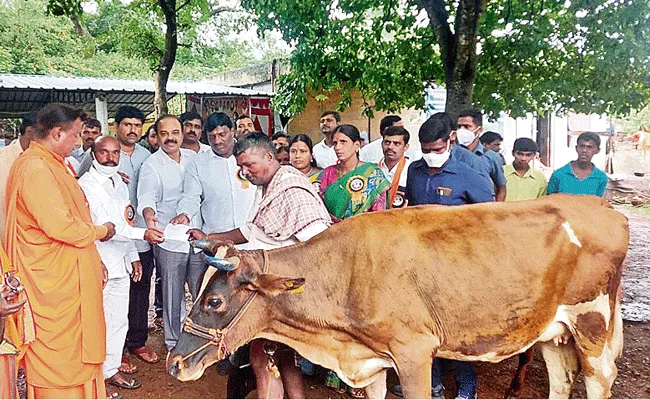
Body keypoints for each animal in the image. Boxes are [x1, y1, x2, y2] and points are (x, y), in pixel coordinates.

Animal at [167, 195, 628, 398]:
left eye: (214, 302)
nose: (175, 362)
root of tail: (604, 207)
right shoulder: (371, 361)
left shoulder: (415, 353)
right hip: (554, 329)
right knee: (562, 379)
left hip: (592, 324)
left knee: (599, 379)